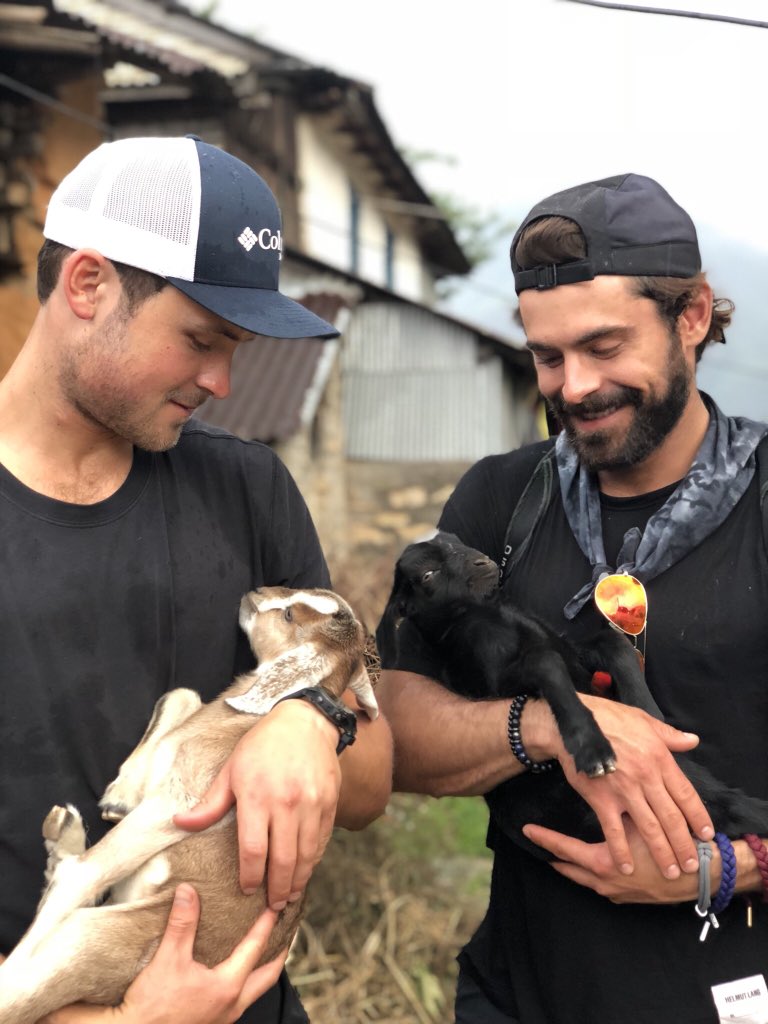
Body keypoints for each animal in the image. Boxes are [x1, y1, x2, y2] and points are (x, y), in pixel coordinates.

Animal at [0, 587, 378, 1024]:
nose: (254, 594)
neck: (235, 723)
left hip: (95, 943)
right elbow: (183, 693)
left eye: (288, 616)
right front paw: (120, 797)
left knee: (26, 989)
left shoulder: (186, 800)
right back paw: (64, 833)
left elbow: (87, 872)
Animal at [378, 532, 768, 856]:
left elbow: (612, 644)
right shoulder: (498, 676)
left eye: (456, 543)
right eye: (428, 575)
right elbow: (546, 662)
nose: (482, 561)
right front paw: (592, 748)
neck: (489, 614)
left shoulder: (574, 652)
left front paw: (649, 716)